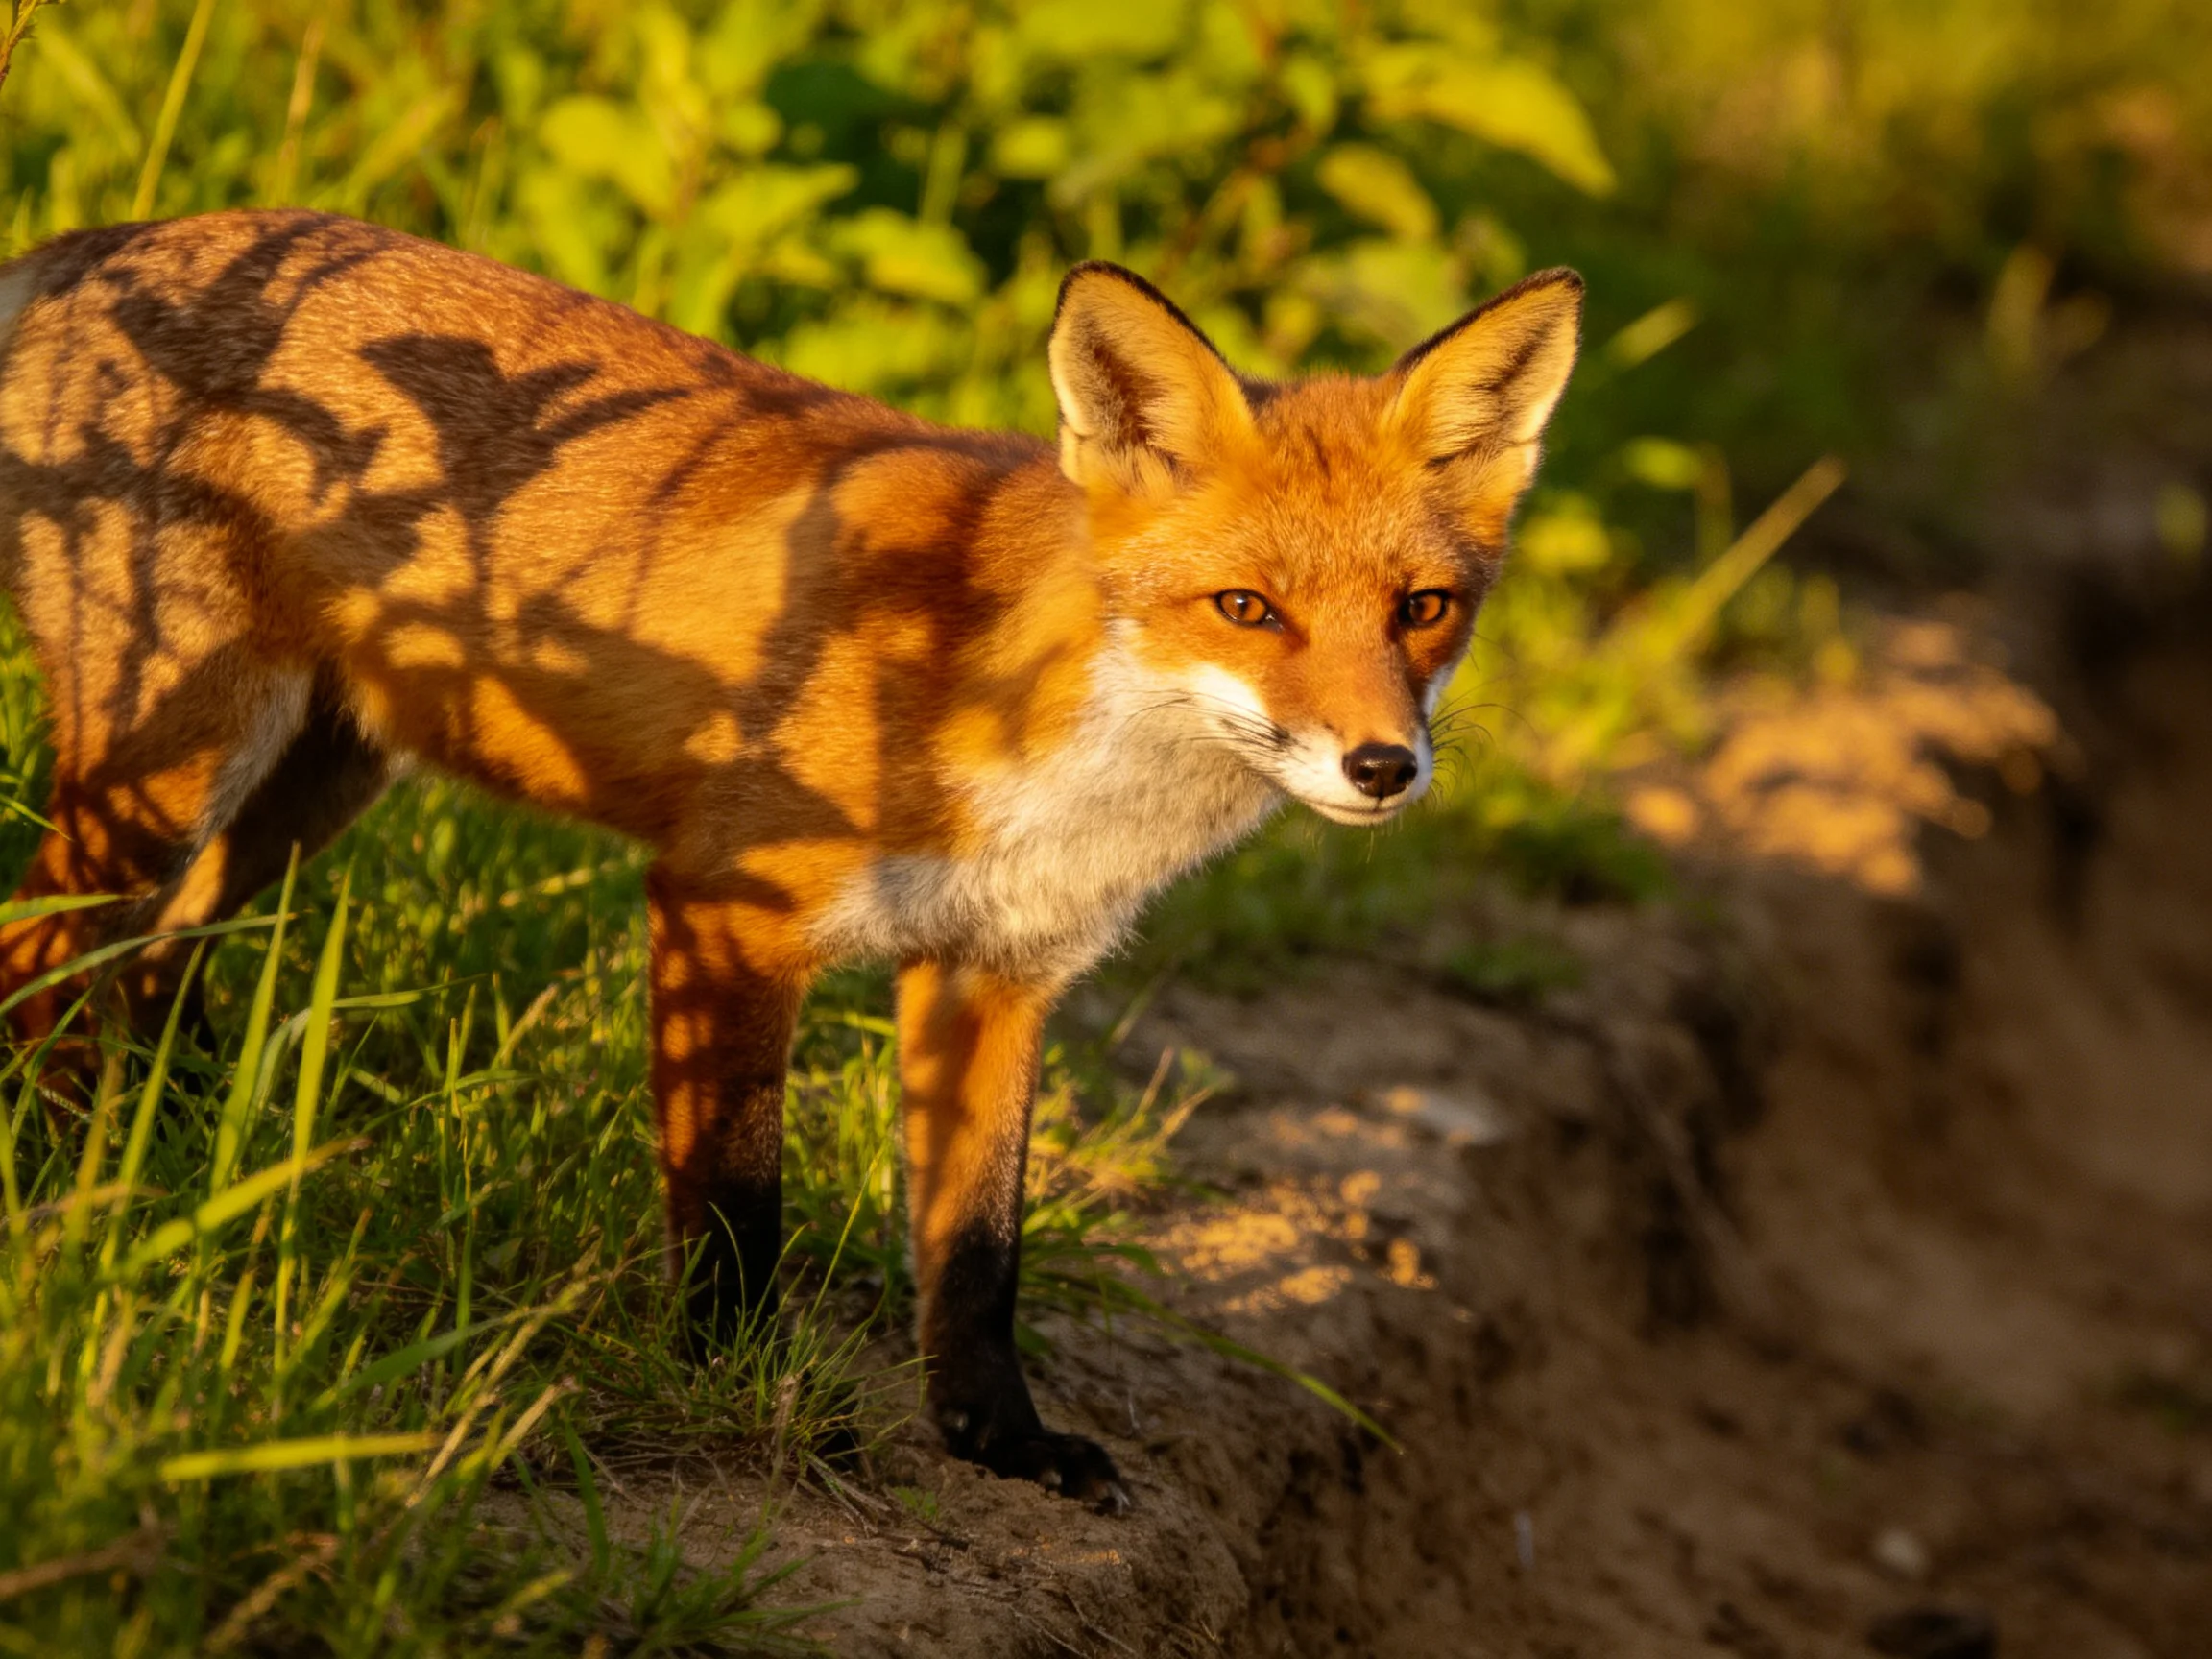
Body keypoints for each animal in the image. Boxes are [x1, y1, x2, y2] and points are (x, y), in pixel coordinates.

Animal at [0, 210, 1579, 1509]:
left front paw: (1000, 1440)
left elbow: (977, 1250)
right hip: (172, 761)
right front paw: (741, 1392)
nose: (1382, 767)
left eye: (1424, 608)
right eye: (1246, 608)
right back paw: (65, 1178)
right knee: (43, 949)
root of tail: (115, 242)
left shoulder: (996, 974)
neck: (1031, 723)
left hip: (307, 781)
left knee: (158, 961)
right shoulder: (724, 912)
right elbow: (736, 1208)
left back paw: (168, 1150)